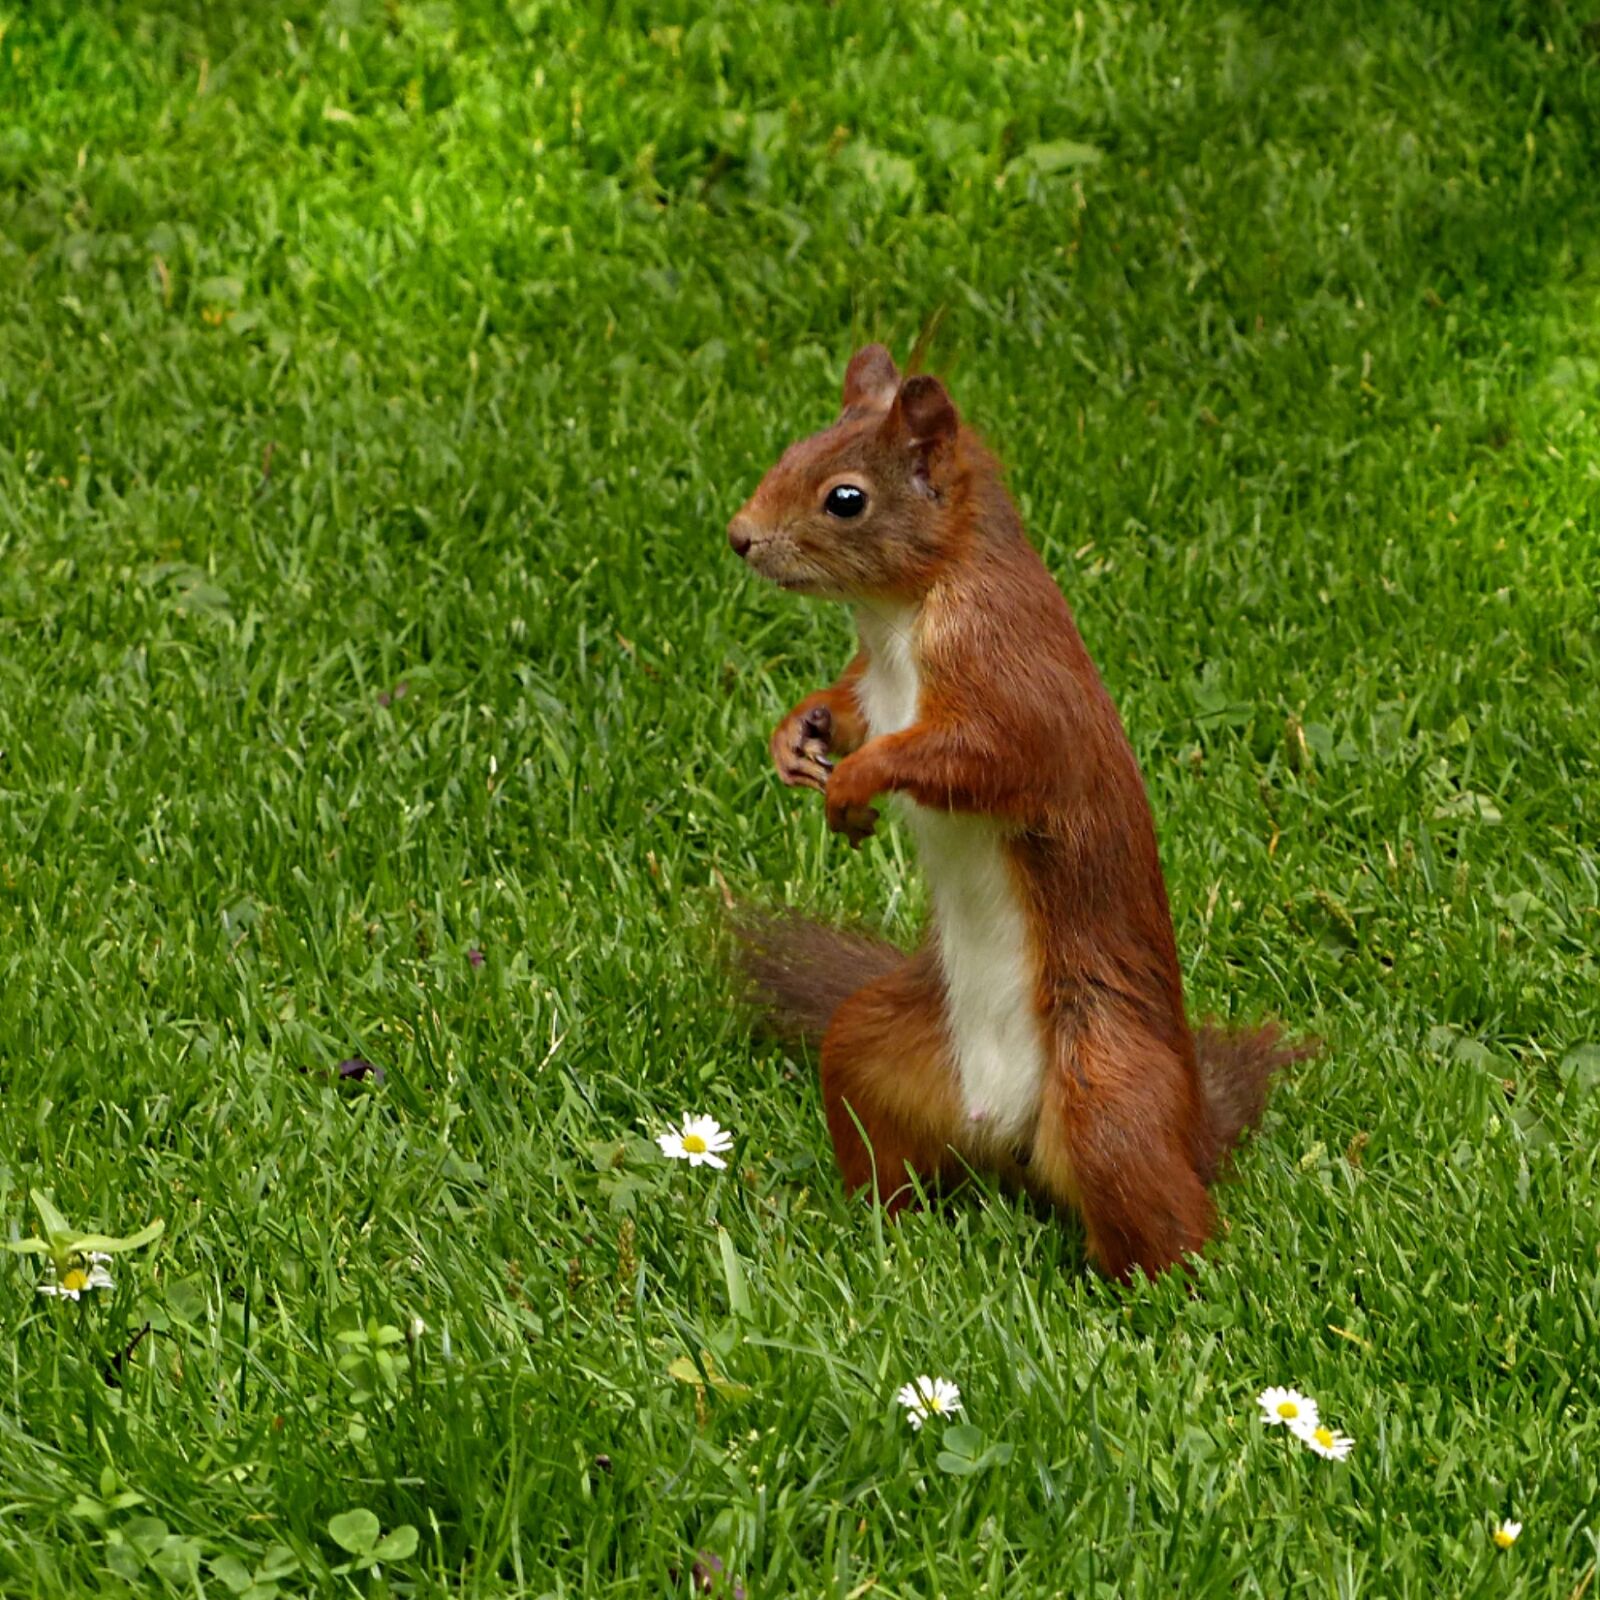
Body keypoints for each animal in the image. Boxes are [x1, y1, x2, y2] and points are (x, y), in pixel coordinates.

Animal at [728, 344, 1307, 1281]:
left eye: (845, 498)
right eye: (792, 448)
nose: (740, 537)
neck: (901, 617)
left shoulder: (1008, 678)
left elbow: (980, 758)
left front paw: (856, 783)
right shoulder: (875, 685)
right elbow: (845, 706)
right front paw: (795, 739)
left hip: (1107, 1090)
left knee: (1166, 1214)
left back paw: (1144, 1287)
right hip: (878, 1046)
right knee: (871, 1110)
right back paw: (874, 1224)